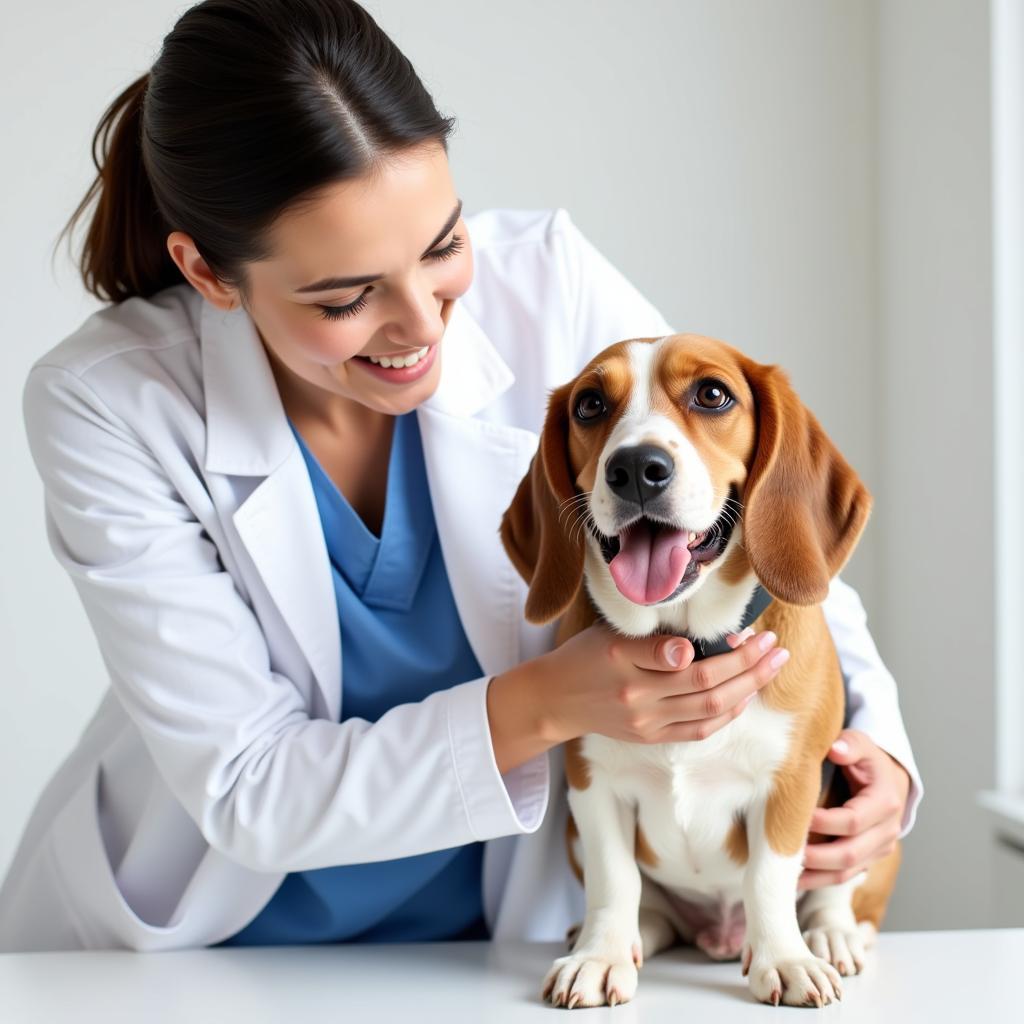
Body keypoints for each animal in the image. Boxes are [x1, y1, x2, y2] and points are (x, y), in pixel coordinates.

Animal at [499, 333, 901, 1007]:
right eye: (588, 405)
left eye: (712, 395)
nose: (636, 467)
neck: (686, 639)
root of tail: (717, 935)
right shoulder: (592, 786)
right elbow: (615, 879)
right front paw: (600, 956)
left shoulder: (791, 783)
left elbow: (770, 878)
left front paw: (784, 960)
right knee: (651, 907)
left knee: (837, 892)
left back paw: (831, 936)